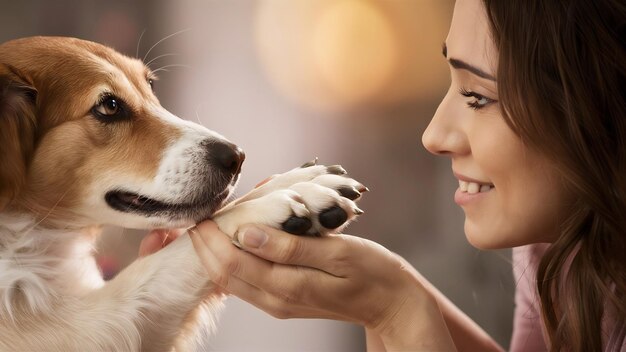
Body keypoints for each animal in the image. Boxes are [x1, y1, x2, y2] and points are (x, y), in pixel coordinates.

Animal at [0, 36, 366, 352]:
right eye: (109, 106)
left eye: (150, 86)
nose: (236, 158)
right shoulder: (95, 330)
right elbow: (175, 254)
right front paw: (263, 209)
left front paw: (296, 180)